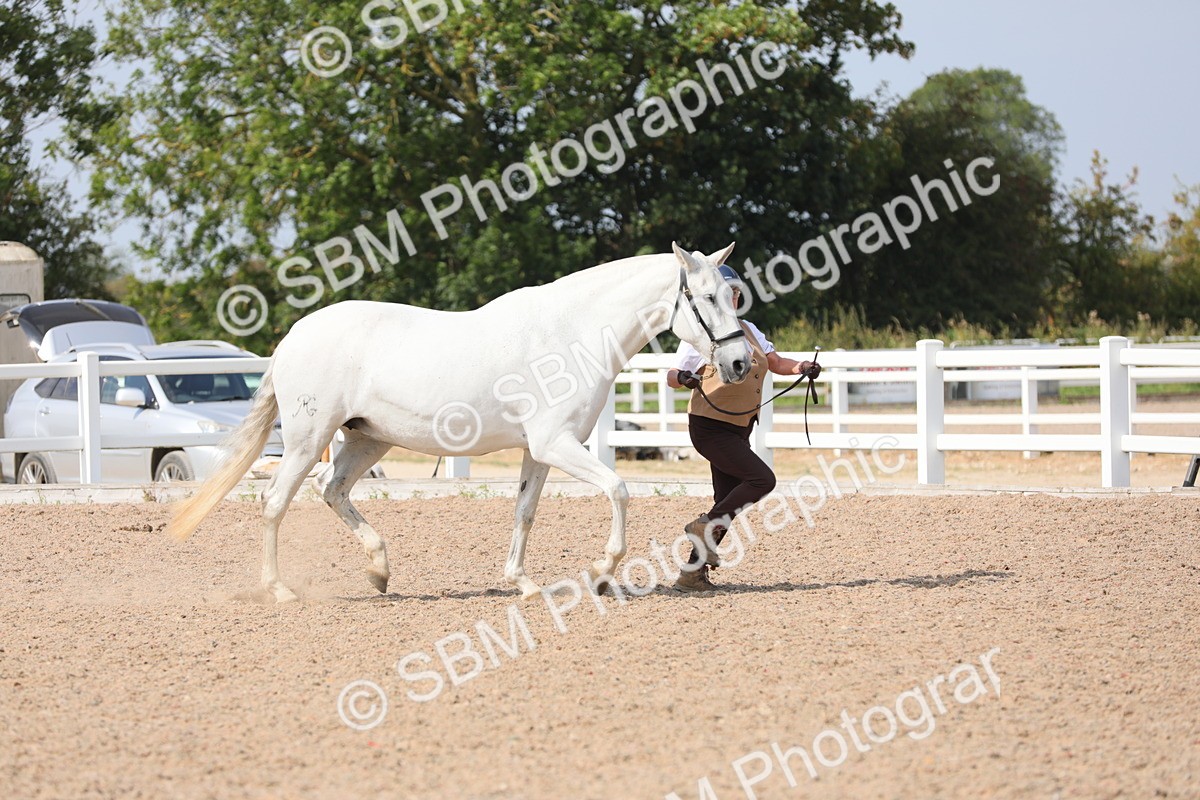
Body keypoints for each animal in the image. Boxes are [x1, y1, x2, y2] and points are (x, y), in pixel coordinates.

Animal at [167, 242, 752, 603]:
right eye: (706, 298)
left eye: (732, 296)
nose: (740, 363)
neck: (571, 333)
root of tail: (292, 337)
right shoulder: (556, 444)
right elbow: (618, 489)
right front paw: (603, 572)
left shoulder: (537, 451)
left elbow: (525, 512)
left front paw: (524, 584)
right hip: (309, 439)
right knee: (275, 503)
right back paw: (282, 591)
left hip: (366, 441)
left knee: (331, 489)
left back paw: (379, 571)